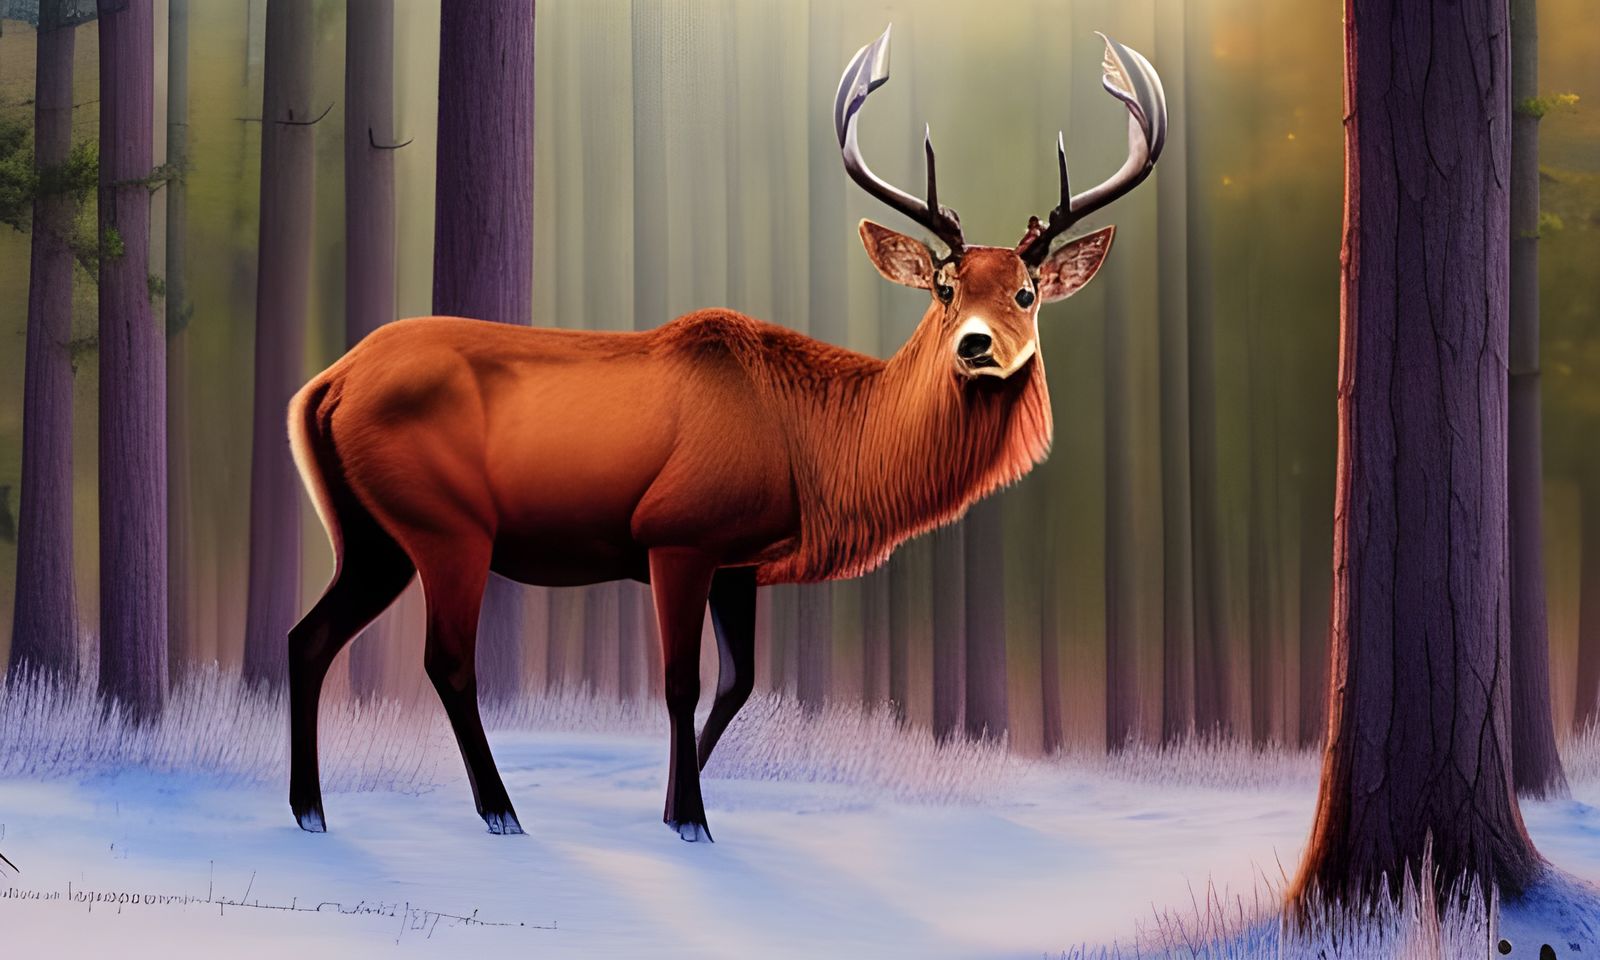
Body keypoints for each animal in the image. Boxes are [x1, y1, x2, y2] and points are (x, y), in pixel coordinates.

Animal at [285, 26, 1165, 841]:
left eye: (1026, 292)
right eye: (945, 288)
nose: (975, 347)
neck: (820, 453)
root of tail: (326, 384)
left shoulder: (742, 558)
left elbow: (737, 685)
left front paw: (672, 804)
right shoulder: (676, 531)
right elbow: (681, 681)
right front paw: (690, 822)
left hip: (370, 533)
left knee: (307, 637)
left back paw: (311, 811)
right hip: (446, 524)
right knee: (446, 660)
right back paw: (499, 812)